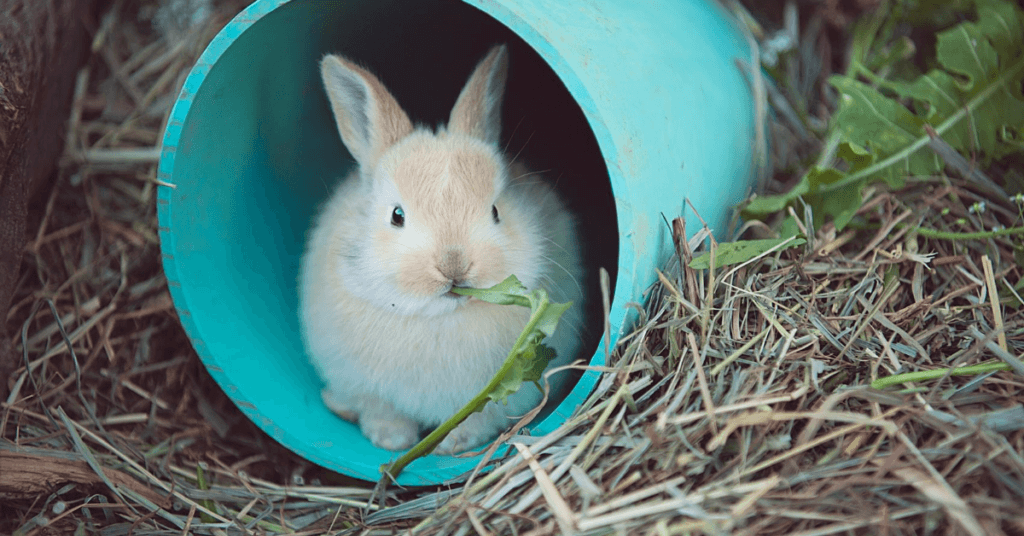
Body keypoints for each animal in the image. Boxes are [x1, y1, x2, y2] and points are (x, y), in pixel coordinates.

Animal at [299, 46, 585, 455]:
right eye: (397, 215)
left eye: (495, 211)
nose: (455, 265)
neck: (439, 314)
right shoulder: (364, 387)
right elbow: (380, 411)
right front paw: (392, 441)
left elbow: (479, 420)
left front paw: (451, 446)